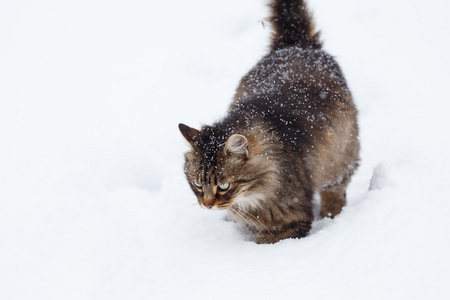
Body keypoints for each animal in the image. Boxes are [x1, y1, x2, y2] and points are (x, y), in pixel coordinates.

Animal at [178, 0, 358, 244]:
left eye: (223, 186)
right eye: (197, 184)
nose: (206, 205)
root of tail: (296, 45)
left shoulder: (287, 221)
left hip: (340, 158)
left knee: (335, 191)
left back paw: (333, 215)